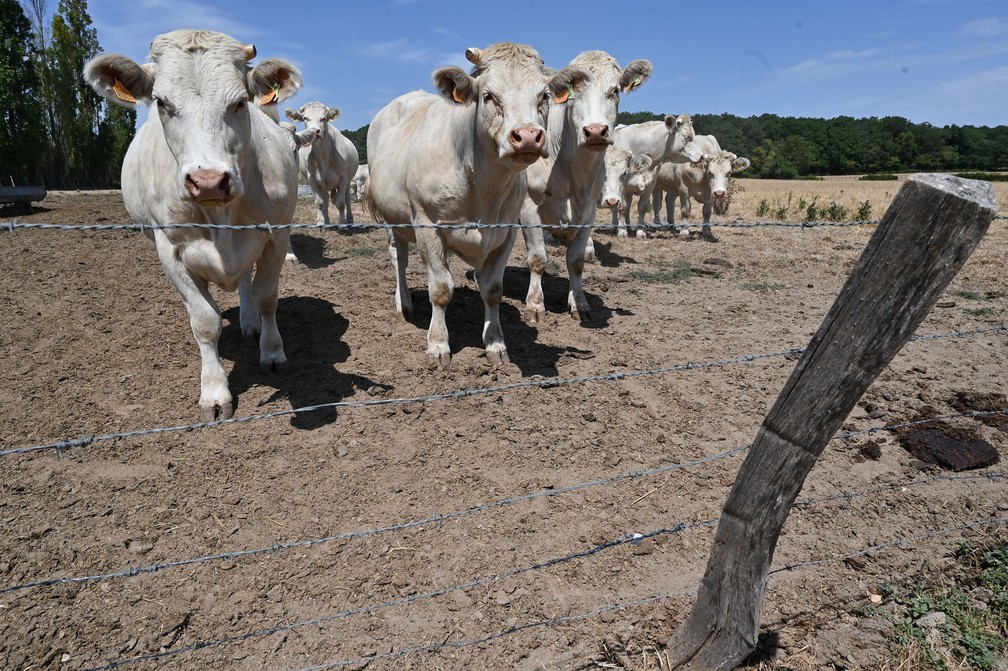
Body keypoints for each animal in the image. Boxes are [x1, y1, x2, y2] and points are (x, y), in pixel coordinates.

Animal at [83, 29, 303, 421]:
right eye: (162, 103)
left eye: (240, 102)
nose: (209, 181)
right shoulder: (170, 251)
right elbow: (204, 321)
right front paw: (214, 392)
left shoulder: (276, 236)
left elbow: (266, 298)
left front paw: (273, 353)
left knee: (245, 284)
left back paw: (249, 324)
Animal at [365, 42, 586, 367]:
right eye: (488, 95)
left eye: (543, 95)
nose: (527, 137)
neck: (482, 186)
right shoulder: (427, 225)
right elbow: (440, 289)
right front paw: (438, 344)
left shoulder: (506, 230)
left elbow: (493, 289)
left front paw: (495, 343)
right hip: (393, 218)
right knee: (399, 258)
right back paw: (403, 303)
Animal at [519, 50, 651, 323]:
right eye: (574, 92)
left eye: (615, 90)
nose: (596, 131)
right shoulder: (529, 209)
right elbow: (537, 258)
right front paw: (535, 305)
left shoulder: (588, 213)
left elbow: (577, 261)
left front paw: (579, 303)